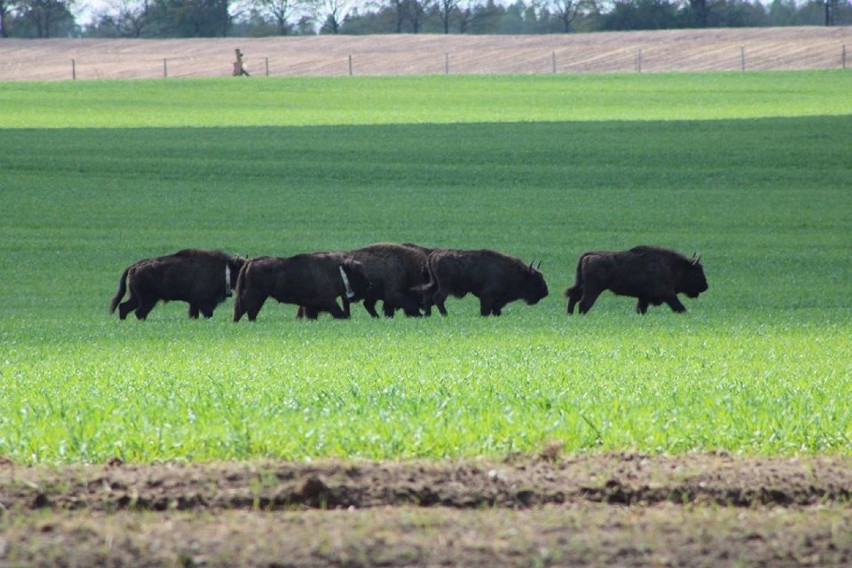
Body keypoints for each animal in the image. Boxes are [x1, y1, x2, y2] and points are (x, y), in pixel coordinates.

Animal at [108, 248, 245, 320]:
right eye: (239, 270)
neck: (225, 268)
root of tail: (134, 266)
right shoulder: (204, 302)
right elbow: (207, 313)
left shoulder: (195, 303)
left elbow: (193, 314)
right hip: (148, 299)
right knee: (139, 312)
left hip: (136, 297)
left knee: (124, 307)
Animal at [233, 252, 370, 322]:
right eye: (358, 274)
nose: (370, 285)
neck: (337, 270)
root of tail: (250, 262)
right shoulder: (328, 302)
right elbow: (339, 313)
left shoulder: (310, 306)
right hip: (256, 297)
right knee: (248, 311)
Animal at [414, 248, 548, 318]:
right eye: (535, 279)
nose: (545, 293)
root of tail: (434, 254)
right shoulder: (487, 298)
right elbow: (485, 310)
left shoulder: (498, 301)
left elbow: (496, 309)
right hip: (445, 287)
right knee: (438, 298)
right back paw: (445, 315)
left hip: (435, 284)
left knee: (428, 296)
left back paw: (427, 315)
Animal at [564, 244, 708, 316]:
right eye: (697, 271)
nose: (705, 286)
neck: (671, 266)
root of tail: (589, 255)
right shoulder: (668, 295)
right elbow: (679, 307)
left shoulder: (644, 298)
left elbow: (641, 309)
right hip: (593, 290)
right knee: (584, 304)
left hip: (583, 287)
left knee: (573, 298)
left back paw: (570, 315)